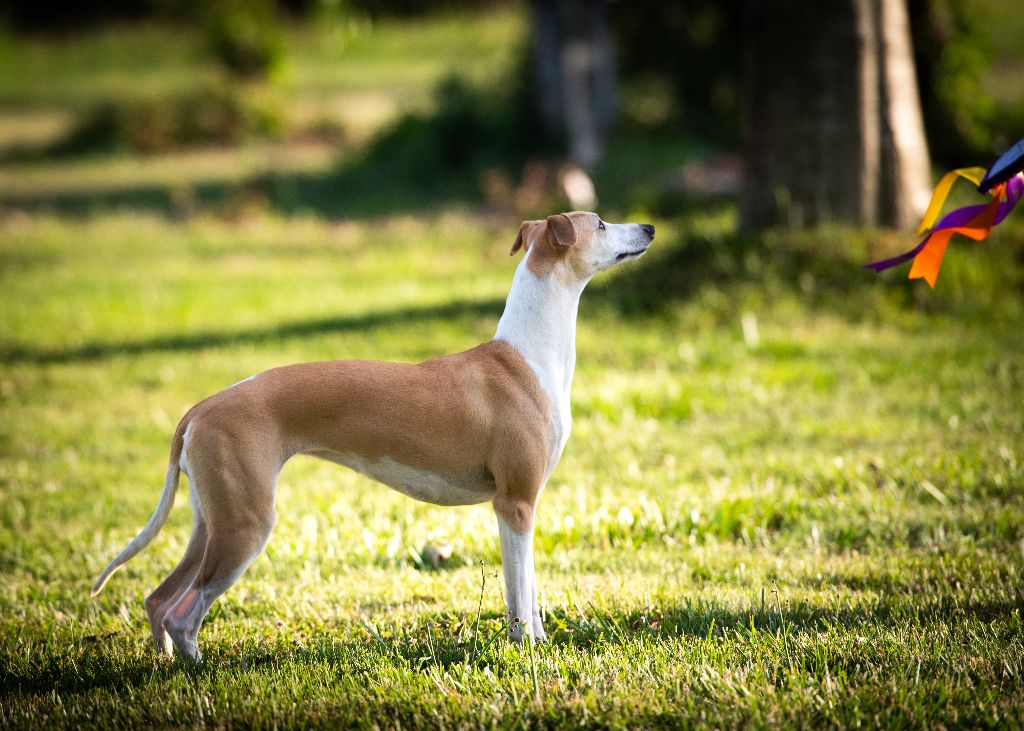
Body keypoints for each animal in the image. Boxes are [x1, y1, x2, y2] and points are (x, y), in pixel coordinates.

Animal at [94, 208, 655, 655]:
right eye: (600, 223)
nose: (649, 227)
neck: (528, 355)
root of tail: (199, 410)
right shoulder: (514, 503)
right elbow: (520, 594)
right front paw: (527, 650)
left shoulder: (523, 505)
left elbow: (531, 590)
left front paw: (537, 642)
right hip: (245, 526)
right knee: (183, 614)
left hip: (210, 523)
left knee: (159, 599)